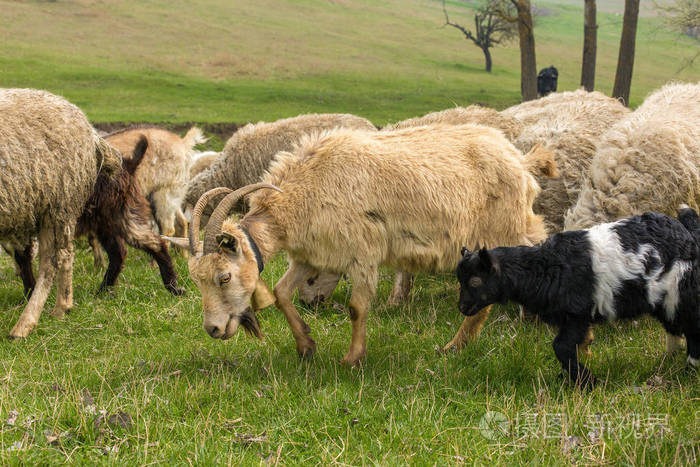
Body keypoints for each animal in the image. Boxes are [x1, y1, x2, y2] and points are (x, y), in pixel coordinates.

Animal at [0, 87, 121, 336]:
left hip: (59, 202)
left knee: (55, 259)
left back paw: (28, 323)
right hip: (48, 208)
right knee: (61, 255)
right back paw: (61, 307)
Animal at [167, 124, 556, 366]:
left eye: (224, 277)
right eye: (197, 281)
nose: (213, 329)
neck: (305, 190)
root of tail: (521, 161)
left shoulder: (362, 253)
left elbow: (356, 307)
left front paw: (352, 358)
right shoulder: (312, 256)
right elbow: (280, 292)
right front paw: (305, 345)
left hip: (500, 228)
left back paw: (461, 344)